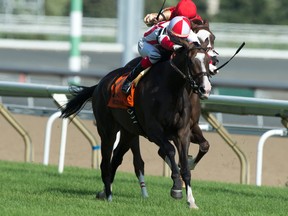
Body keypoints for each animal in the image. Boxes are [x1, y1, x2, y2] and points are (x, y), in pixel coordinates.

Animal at [61, 39, 212, 208]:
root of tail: (99, 84)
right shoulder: (154, 131)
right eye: (192, 61)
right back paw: (108, 195)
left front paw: (191, 200)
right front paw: (176, 188)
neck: (170, 89)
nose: (205, 89)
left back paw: (105, 192)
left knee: (116, 158)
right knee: (105, 162)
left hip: (128, 132)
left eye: (208, 60)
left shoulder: (183, 132)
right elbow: (170, 150)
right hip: (107, 131)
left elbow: (186, 164)